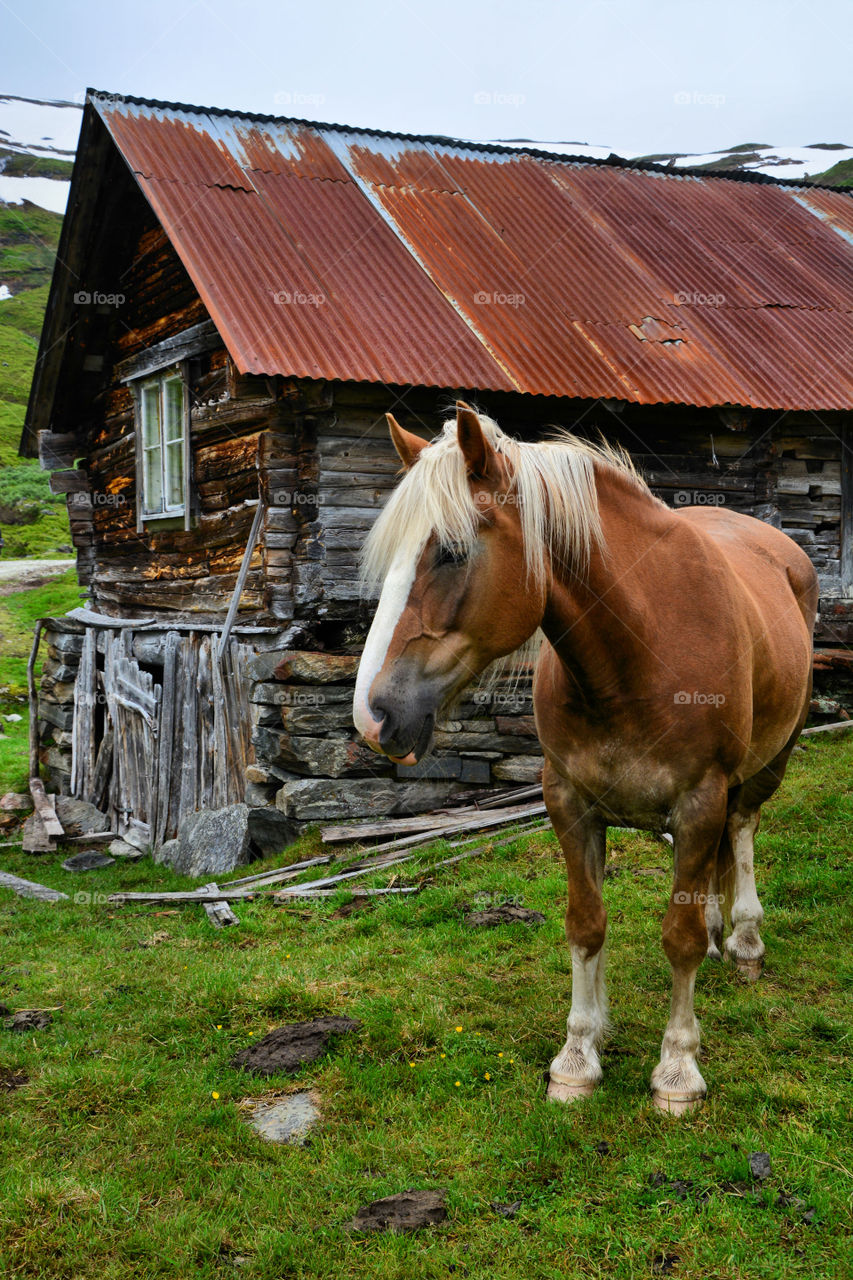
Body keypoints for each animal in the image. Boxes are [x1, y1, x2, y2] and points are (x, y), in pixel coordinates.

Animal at [350, 401, 819, 1111]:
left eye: (452, 552)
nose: (372, 717)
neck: (640, 651)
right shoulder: (569, 802)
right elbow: (586, 924)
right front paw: (578, 1054)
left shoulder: (699, 801)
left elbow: (677, 938)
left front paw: (677, 1069)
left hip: (766, 767)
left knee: (741, 831)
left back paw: (742, 939)